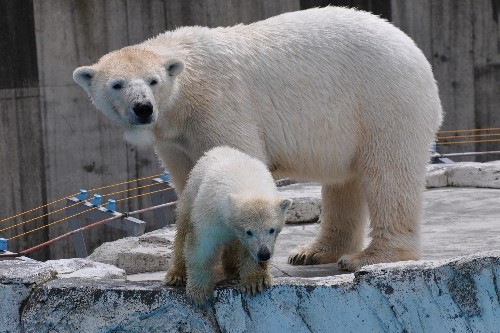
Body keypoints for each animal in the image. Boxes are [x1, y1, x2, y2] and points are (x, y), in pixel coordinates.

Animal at [73, 6, 442, 270]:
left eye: (153, 80)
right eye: (117, 84)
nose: (143, 108)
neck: (187, 88)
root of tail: (415, 51)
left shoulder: (219, 105)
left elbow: (240, 161)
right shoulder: (175, 140)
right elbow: (189, 180)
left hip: (383, 100)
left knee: (388, 174)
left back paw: (370, 256)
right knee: (344, 181)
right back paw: (312, 252)